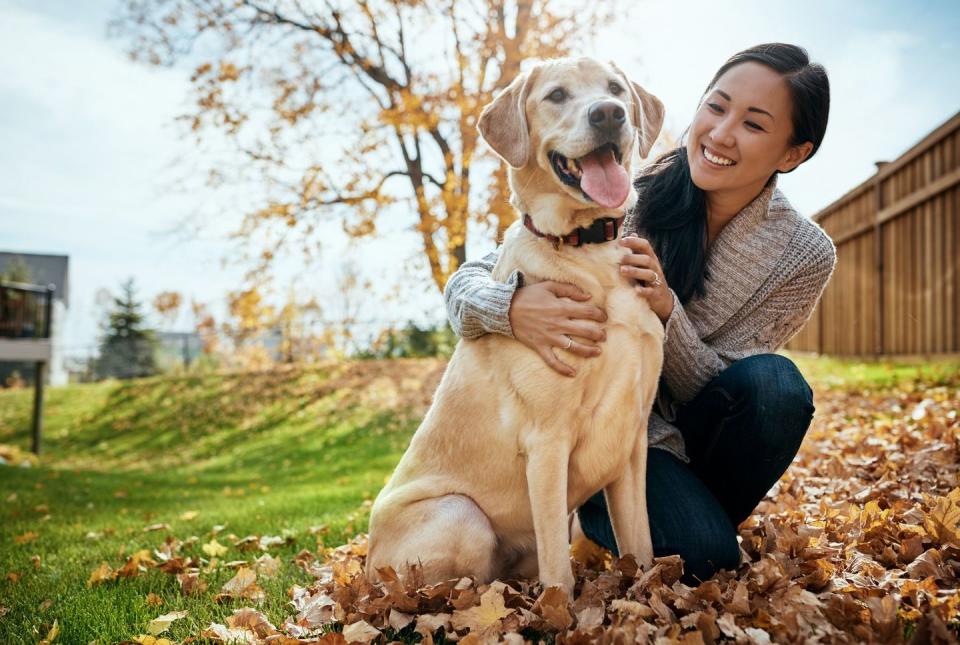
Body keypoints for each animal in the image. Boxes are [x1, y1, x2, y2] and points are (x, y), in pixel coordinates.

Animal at [368, 56, 668, 592]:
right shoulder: (547, 442)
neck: (589, 249)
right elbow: (558, 572)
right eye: (557, 95)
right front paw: (562, 608)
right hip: (461, 515)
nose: (608, 113)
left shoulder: (631, 441)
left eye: (615, 89)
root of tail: (362, 568)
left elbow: (642, 546)